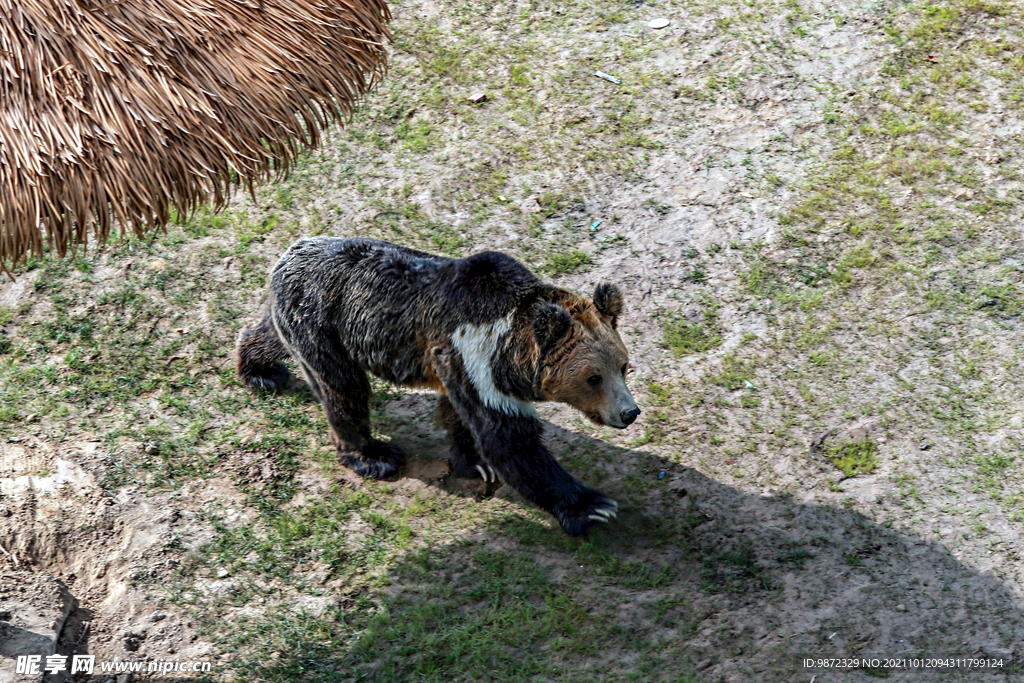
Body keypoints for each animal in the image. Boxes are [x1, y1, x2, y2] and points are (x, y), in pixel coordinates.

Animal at [236, 237, 640, 536]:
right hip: (323, 324)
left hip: (300, 319)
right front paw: (592, 506)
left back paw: (259, 369)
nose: (629, 412)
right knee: (342, 388)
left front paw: (474, 463)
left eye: (623, 366)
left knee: (271, 334)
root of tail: (286, 255)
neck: (510, 345)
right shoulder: (474, 358)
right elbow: (510, 440)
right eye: (593, 377)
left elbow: (461, 417)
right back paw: (374, 456)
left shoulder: (460, 365)